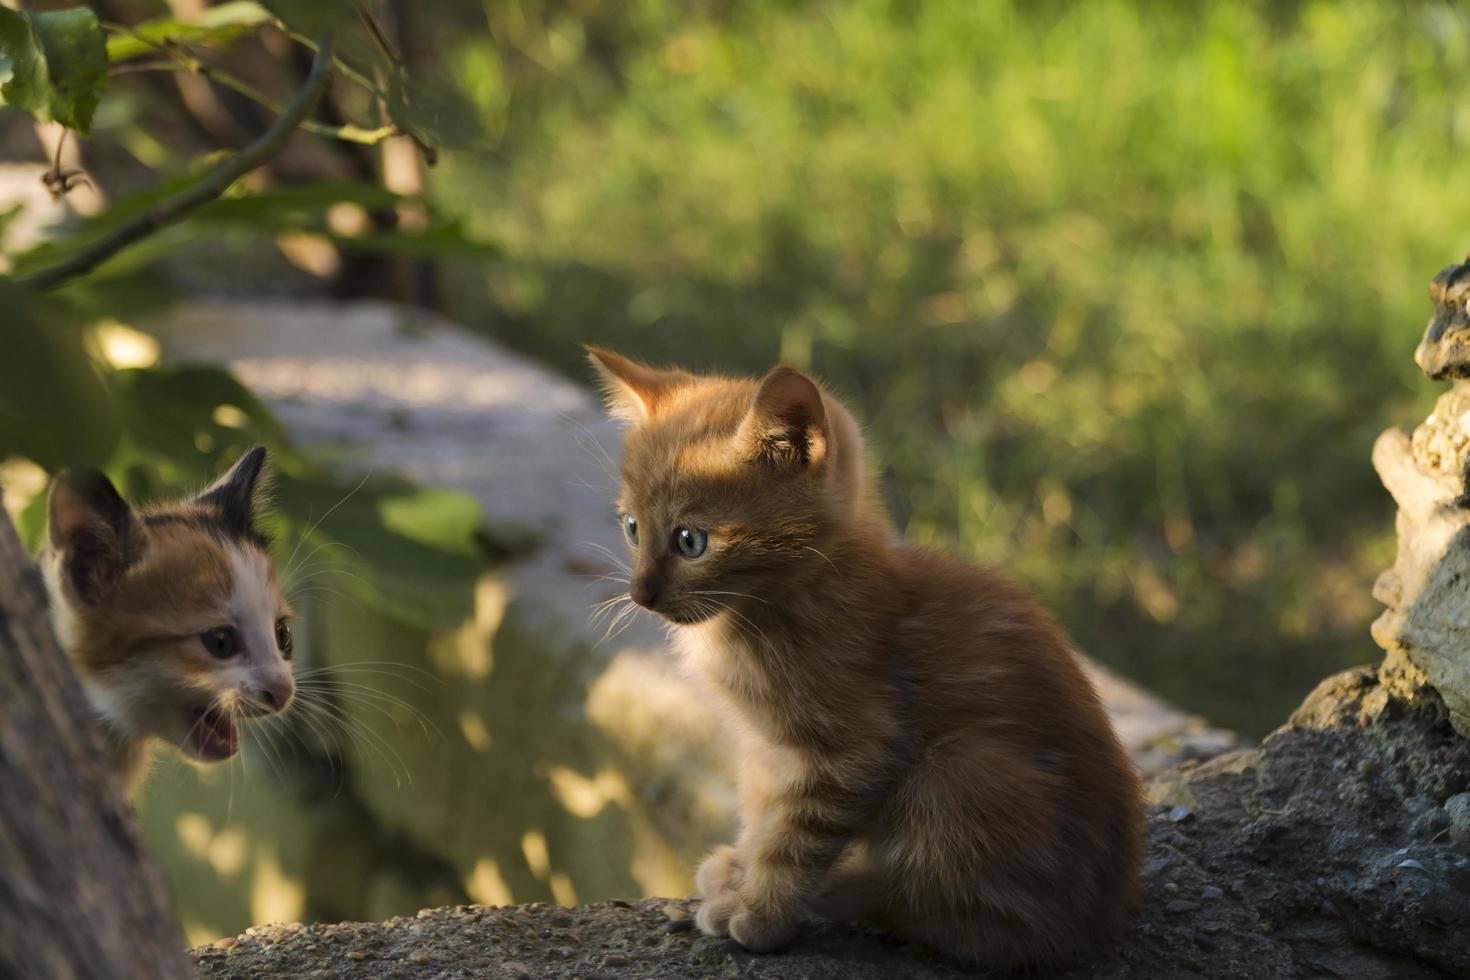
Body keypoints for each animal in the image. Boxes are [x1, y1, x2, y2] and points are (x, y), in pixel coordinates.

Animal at [588, 348, 1146, 969]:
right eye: (632, 528)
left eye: (691, 541)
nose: (640, 595)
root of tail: (1100, 919)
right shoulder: (767, 747)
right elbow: (764, 811)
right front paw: (744, 868)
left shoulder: (852, 748)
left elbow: (794, 841)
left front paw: (760, 911)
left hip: (960, 773)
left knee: (951, 911)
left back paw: (843, 890)